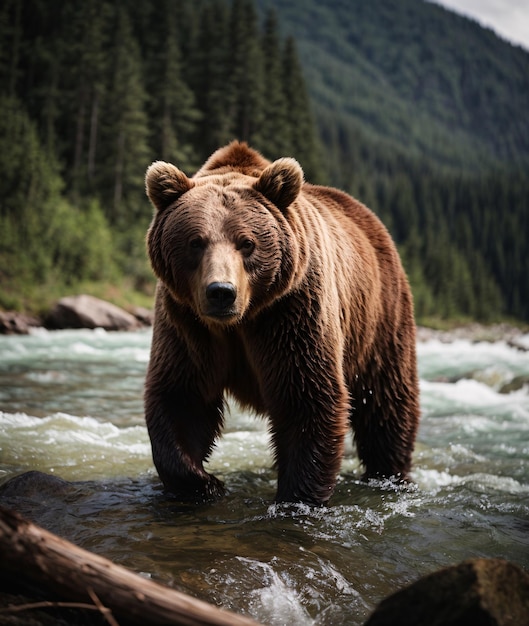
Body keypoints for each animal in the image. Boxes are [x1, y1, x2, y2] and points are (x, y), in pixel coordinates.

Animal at [142, 140, 418, 502]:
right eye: (195, 242)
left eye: (247, 243)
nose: (221, 292)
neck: (239, 322)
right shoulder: (187, 324)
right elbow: (182, 396)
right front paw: (206, 483)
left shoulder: (291, 312)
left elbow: (307, 398)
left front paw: (296, 498)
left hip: (380, 316)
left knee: (387, 400)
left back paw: (390, 473)